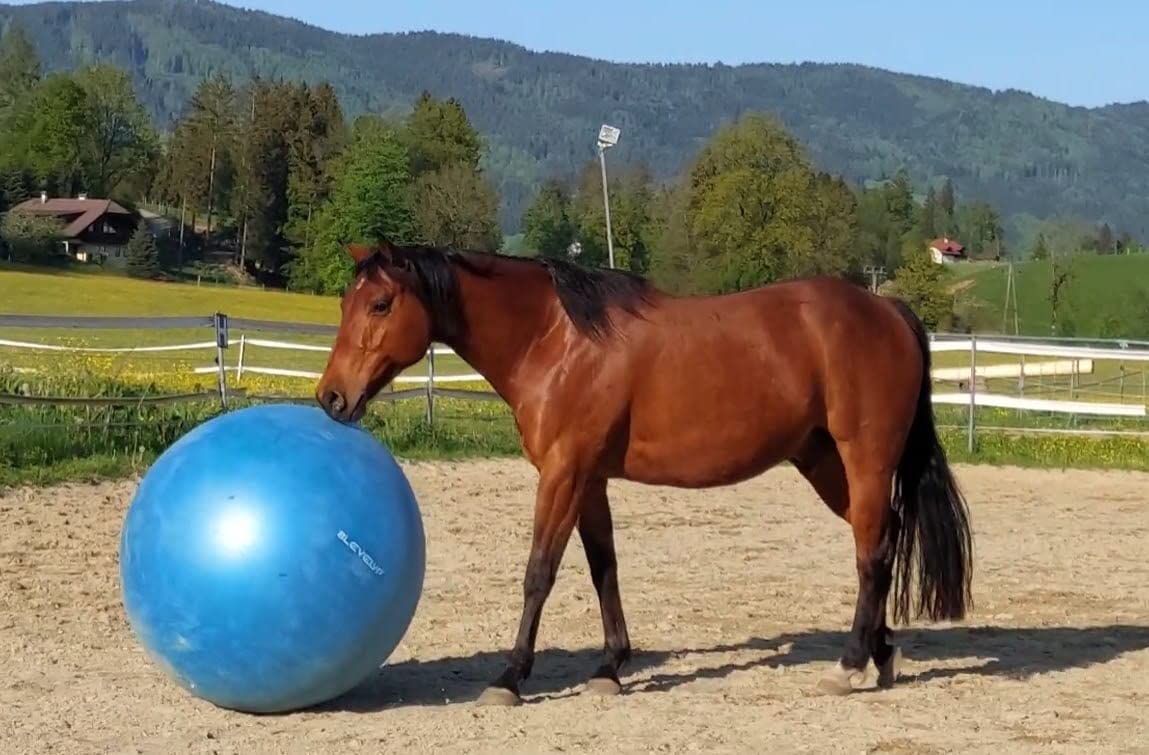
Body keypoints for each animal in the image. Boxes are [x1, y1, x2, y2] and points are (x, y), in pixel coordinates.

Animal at [315, 241, 973, 706]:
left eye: (380, 304)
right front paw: (610, 666)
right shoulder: (590, 479)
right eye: (346, 304)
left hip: (864, 459)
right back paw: (882, 655)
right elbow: (603, 567)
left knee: (872, 554)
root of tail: (885, 308)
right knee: (882, 540)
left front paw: (510, 677)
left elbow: (539, 573)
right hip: (823, 462)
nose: (331, 398)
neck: (556, 341)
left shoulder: (563, 473)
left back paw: (850, 664)